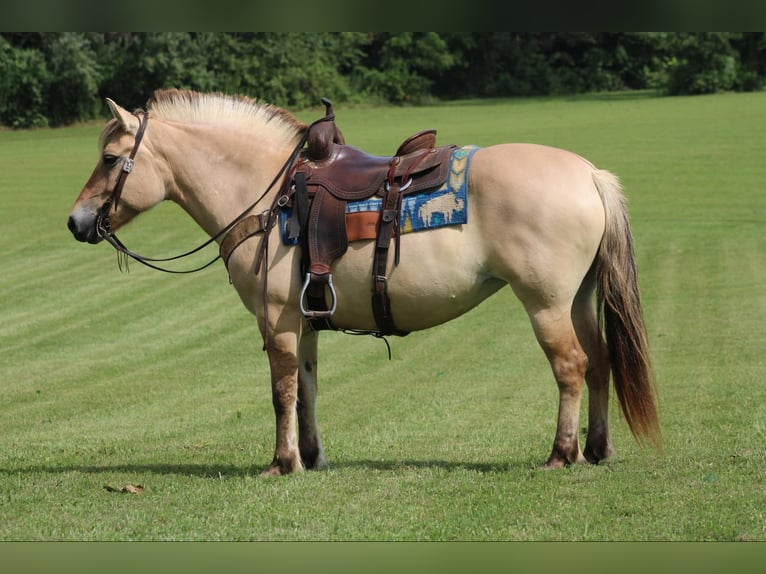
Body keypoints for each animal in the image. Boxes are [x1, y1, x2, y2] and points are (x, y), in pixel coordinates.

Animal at [69, 90, 664, 476]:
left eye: (110, 159)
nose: (76, 222)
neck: (268, 197)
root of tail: (589, 174)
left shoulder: (277, 320)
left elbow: (281, 391)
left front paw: (282, 463)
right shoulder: (304, 321)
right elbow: (306, 388)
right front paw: (311, 457)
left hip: (546, 304)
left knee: (571, 367)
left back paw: (562, 454)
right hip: (579, 300)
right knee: (600, 362)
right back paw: (598, 448)